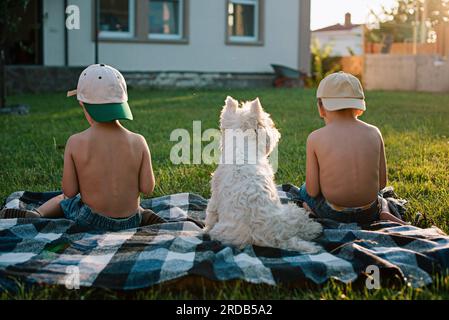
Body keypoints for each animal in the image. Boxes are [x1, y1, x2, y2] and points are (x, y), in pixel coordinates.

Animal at [203, 96, 322, 254]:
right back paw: (316, 229)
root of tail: (271, 237)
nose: (276, 133)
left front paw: (204, 229)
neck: (242, 147)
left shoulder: (215, 196)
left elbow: (210, 214)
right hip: (291, 214)